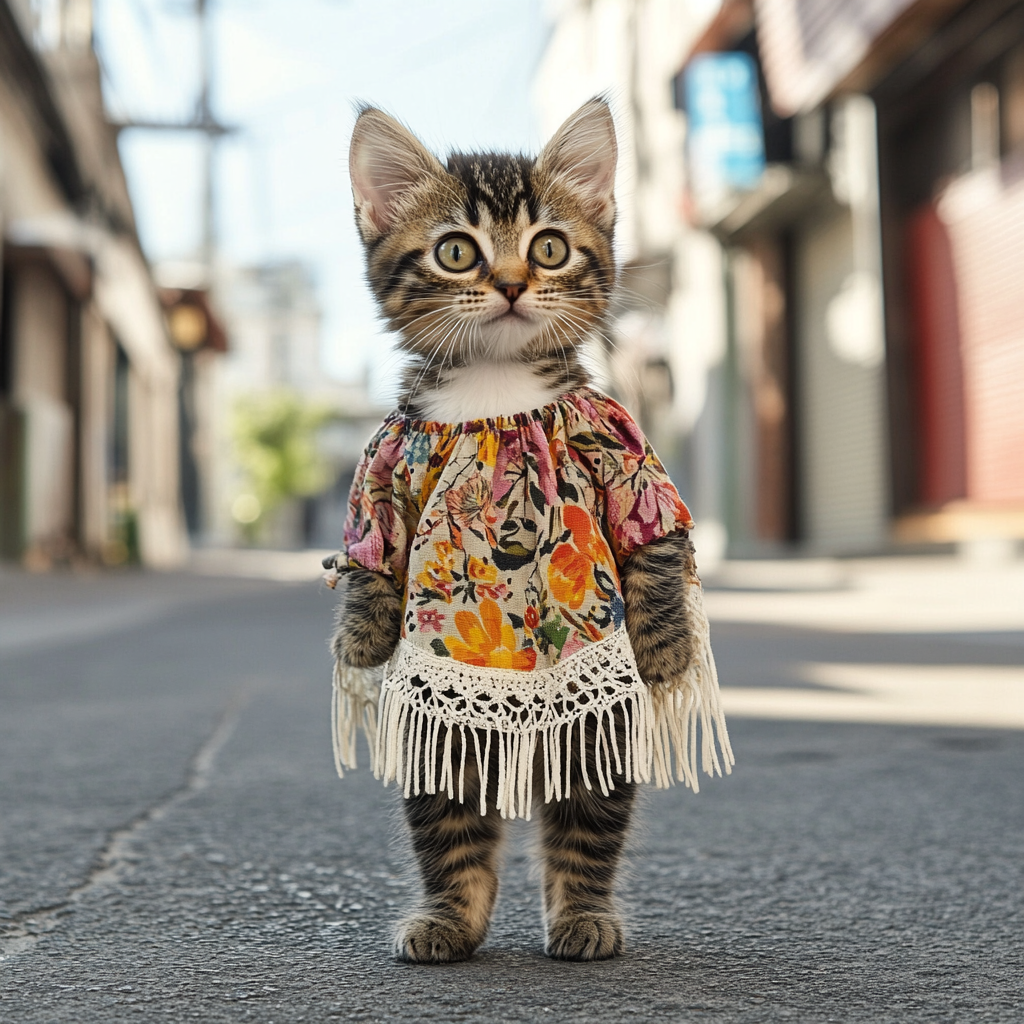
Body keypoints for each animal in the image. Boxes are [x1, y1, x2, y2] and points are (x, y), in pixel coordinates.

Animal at [333, 99, 704, 962]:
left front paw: (667, 647)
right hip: (445, 724)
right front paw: (361, 635)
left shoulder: (620, 450)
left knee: (587, 815)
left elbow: (653, 536)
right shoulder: (388, 465)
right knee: (450, 815)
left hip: (593, 723)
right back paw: (448, 919)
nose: (509, 284)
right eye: (456, 252)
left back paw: (582, 917)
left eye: (549, 247)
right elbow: (374, 548)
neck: (494, 389)